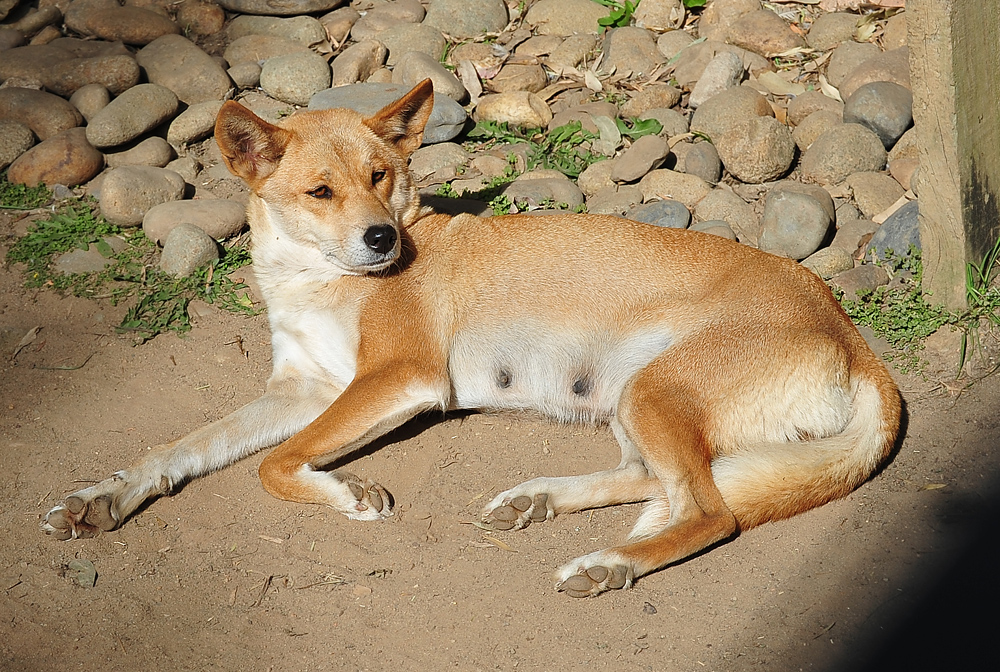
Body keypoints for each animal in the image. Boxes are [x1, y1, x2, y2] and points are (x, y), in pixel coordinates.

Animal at [41, 80, 900, 600]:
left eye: (381, 175)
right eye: (320, 191)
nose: (383, 239)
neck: (314, 278)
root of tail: (852, 336)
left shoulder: (398, 378)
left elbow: (276, 465)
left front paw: (345, 493)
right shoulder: (302, 389)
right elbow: (187, 446)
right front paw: (106, 495)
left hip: (657, 389)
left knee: (710, 512)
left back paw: (608, 562)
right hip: (633, 398)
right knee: (659, 484)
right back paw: (537, 501)